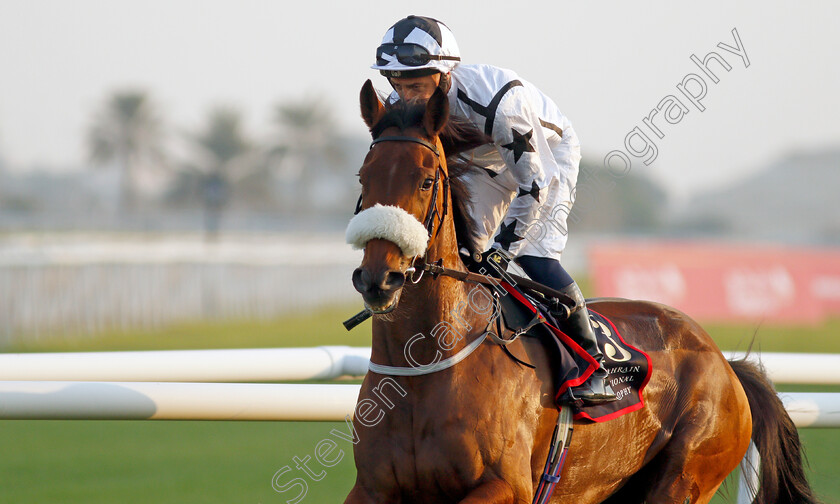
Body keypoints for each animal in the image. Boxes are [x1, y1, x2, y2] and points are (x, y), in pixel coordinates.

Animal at [342, 80, 812, 502]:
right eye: (363, 178)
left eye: (425, 181)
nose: (378, 279)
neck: (427, 366)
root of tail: (725, 363)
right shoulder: (371, 489)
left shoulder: (506, 486)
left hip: (686, 473)